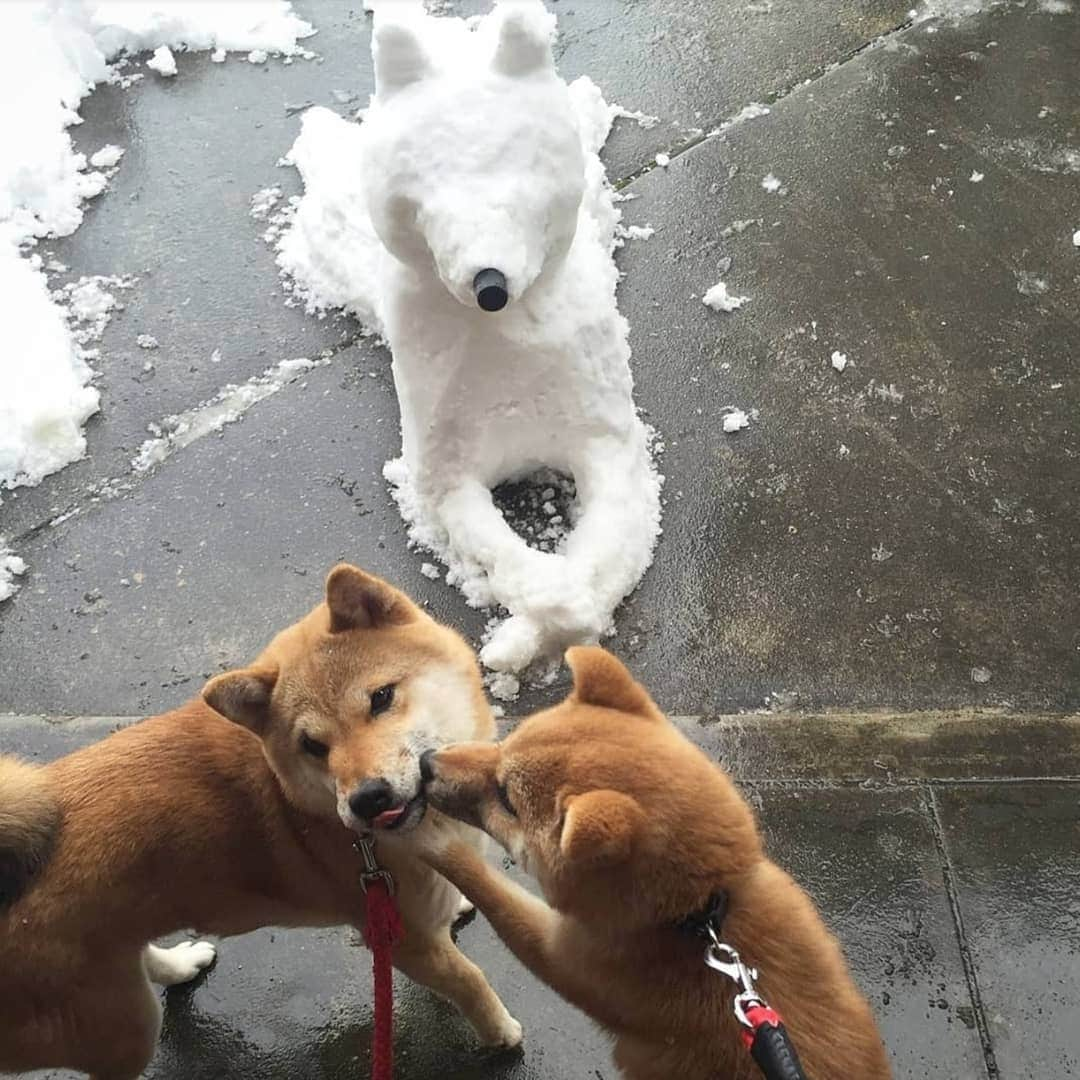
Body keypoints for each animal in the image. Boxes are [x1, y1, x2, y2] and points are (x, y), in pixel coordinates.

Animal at [0, 565, 518, 1080]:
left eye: (381, 698)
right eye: (312, 746)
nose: (367, 800)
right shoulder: (403, 942)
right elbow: (469, 980)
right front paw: (499, 1031)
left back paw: (179, 964)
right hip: (125, 1028)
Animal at [408, 648, 889, 1080]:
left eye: (507, 799)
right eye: (504, 743)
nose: (426, 763)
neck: (697, 917)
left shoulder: (569, 960)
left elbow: (490, 889)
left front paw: (434, 840)